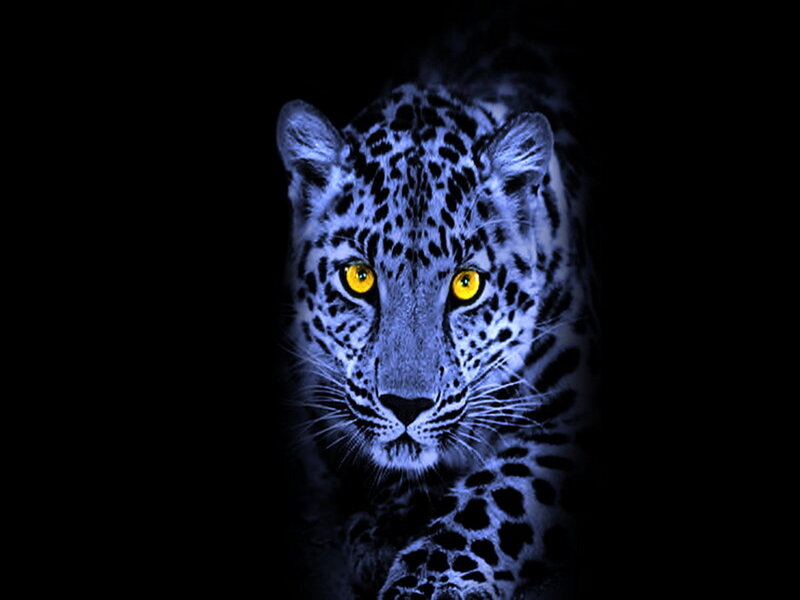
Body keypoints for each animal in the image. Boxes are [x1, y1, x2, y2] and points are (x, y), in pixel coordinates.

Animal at [276, 40, 598, 600]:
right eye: (359, 278)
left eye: (467, 285)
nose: (407, 406)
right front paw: (386, 526)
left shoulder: (570, 421)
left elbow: (494, 499)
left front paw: (427, 582)